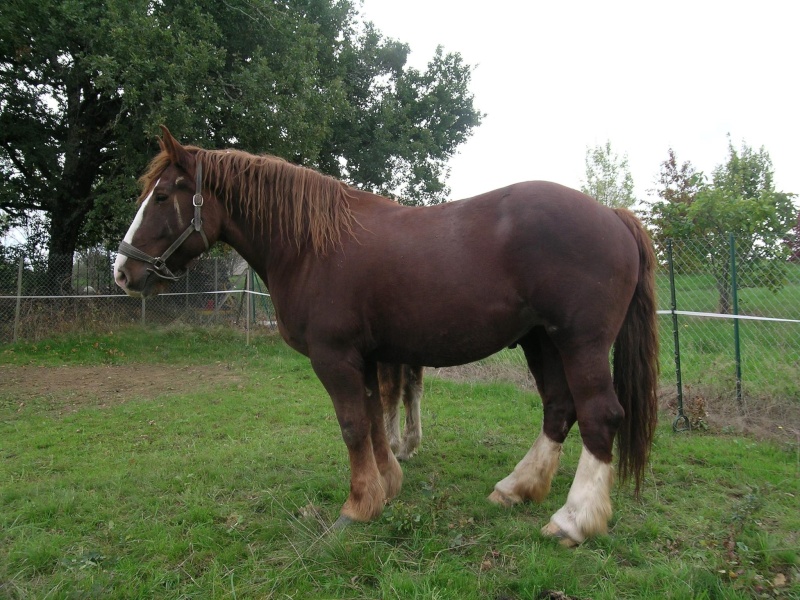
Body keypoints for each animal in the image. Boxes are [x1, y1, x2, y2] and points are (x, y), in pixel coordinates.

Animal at [115, 129, 660, 548]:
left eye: (161, 196)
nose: (122, 271)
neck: (311, 246)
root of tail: (612, 215)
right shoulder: (370, 357)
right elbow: (377, 419)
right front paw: (388, 487)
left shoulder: (335, 358)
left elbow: (353, 425)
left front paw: (357, 507)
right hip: (541, 341)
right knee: (559, 410)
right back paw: (517, 488)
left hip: (579, 342)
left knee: (599, 415)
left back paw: (573, 521)